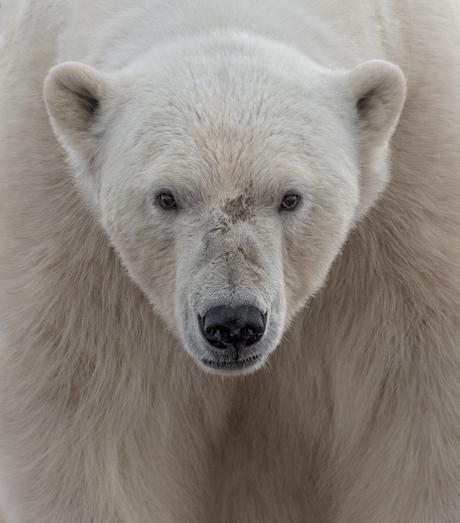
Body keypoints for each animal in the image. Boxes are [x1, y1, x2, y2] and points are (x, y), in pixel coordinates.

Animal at [0, 0, 458, 520]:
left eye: (290, 197)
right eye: (166, 197)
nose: (234, 322)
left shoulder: (418, 207)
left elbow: (417, 413)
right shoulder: (59, 227)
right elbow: (86, 416)